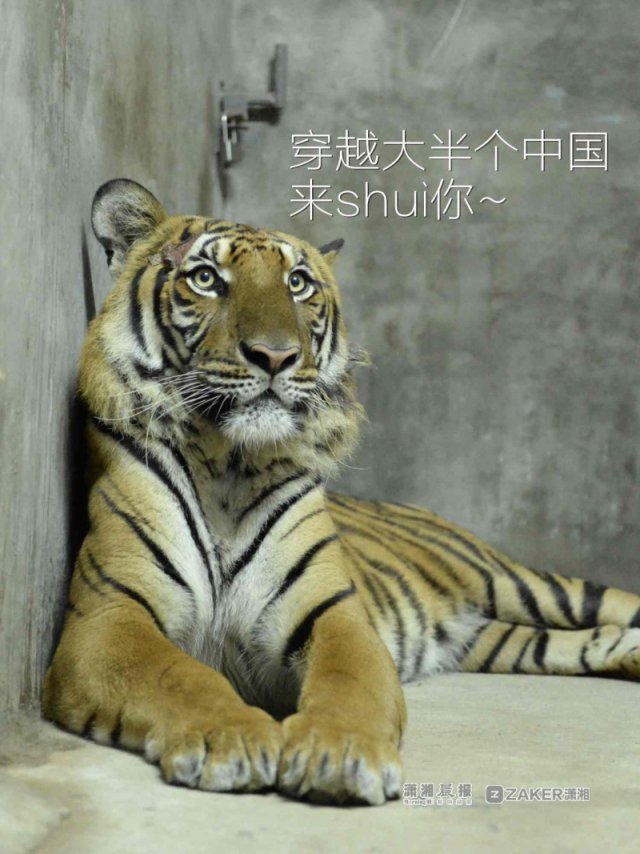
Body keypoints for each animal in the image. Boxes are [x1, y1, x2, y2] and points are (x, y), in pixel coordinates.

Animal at [43, 178, 640, 807]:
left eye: (298, 284)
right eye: (205, 278)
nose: (276, 355)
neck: (228, 463)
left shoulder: (335, 613)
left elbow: (347, 683)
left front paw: (340, 754)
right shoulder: (108, 618)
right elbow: (181, 675)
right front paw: (230, 738)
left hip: (527, 585)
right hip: (501, 638)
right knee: (581, 642)